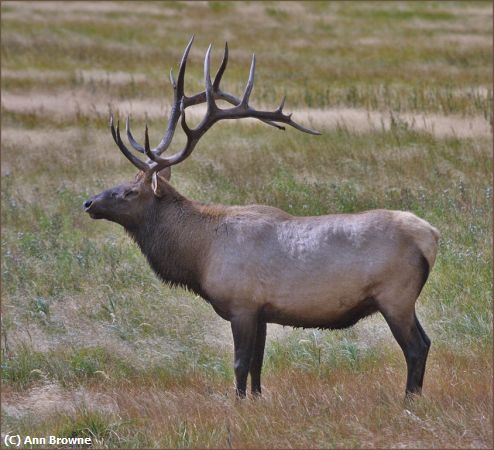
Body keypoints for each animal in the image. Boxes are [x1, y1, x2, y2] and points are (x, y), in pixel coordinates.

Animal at [85, 37, 440, 398]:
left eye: (131, 192)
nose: (89, 203)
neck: (199, 255)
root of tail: (431, 235)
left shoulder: (241, 304)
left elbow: (240, 364)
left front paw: (238, 403)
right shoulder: (262, 313)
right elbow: (258, 365)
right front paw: (256, 399)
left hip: (395, 295)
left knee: (416, 347)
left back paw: (409, 399)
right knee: (426, 342)